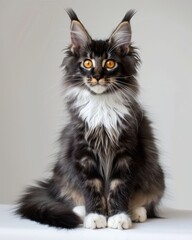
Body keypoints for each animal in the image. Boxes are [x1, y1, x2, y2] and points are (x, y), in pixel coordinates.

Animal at [15, 9, 164, 230]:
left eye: (110, 63)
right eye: (87, 63)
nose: (97, 76)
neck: (102, 106)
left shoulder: (126, 152)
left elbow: (119, 188)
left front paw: (119, 216)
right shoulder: (83, 152)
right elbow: (91, 187)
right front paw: (95, 215)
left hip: (155, 175)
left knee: (148, 203)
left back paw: (137, 212)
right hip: (62, 173)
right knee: (69, 196)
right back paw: (80, 211)